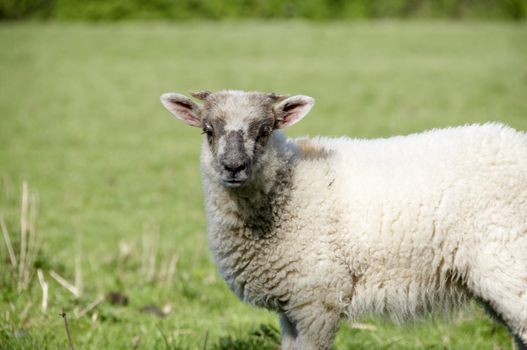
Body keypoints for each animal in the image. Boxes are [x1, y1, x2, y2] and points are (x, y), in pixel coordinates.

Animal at [161, 90, 527, 350]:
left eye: (264, 131)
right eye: (208, 130)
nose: (234, 167)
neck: (289, 185)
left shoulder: (317, 297)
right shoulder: (291, 302)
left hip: (510, 265)